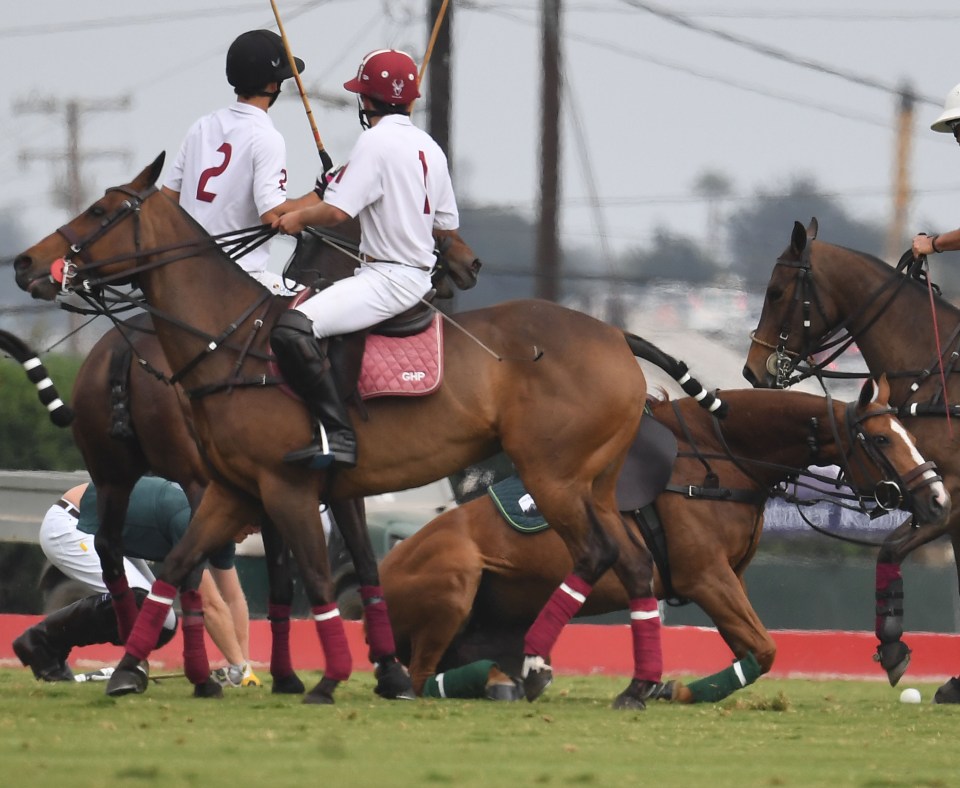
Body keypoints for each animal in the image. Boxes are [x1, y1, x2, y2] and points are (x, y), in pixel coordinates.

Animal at [13, 154, 720, 708]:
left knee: (597, 555)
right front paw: (129, 671)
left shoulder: (288, 487)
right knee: (634, 564)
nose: (24, 263)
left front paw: (330, 679)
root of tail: (615, 335)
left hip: (552, 475)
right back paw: (636, 686)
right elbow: (182, 566)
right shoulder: (235, 490)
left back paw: (536, 664)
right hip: (595, 483)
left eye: (101, 210)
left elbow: (319, 579)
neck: (231, 336)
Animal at [380, 378, 944, 700]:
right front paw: (667, 689)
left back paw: (504, 676)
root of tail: (387, 568)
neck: (718, 461)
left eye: (909, 434)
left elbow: (752, 649)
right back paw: (500, 680)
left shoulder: (728, 578)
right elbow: (763, 650)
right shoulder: (706, 577)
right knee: (419, 678)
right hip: (456, 580)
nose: (938, 499)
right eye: (881, 438)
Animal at [748, 217, 960, 700]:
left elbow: (890, 548)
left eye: (776, 292)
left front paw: (894, 648)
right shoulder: (931, 489)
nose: (752, 369)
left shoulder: (946, 492)